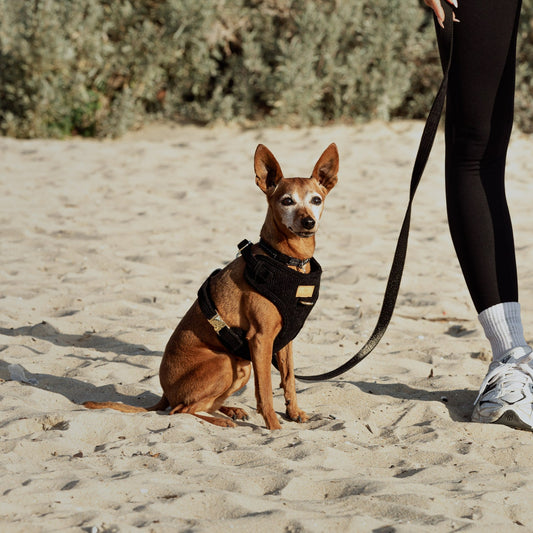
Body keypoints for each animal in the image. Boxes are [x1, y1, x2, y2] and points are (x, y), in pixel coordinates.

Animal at [85, 142, 338, 428]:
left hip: (239, 366)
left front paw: (294, 412)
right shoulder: (261, 339)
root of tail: (165, 393)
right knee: (180, 410)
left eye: (316, 200)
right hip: (227, 362)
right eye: (287, 201)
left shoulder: (284, 341)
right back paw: (221, 421)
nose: (308, 222)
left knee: (201, 404)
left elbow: (289, 379)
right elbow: (265, 392)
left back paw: (230, 410)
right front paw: (274, 428)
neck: (284, 260)